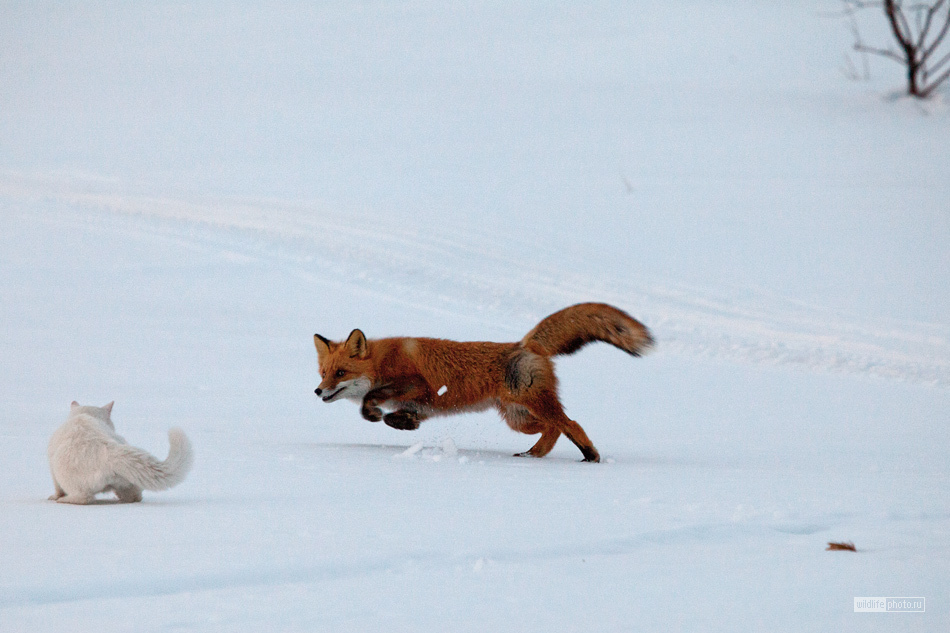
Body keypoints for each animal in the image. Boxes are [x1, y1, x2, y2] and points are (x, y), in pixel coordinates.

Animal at [48, 400, 193, 504]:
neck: (85, 415)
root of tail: (109, 453)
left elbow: (57, 488)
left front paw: (55, 496)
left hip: (67, 476)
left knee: (83, 498)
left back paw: (63, 500)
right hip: (128, 480)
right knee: (135, 496)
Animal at [314, 302, 656, 460]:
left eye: (340, 373)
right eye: (323, 372)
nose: (317, 391)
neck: (382, 360)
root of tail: (525, 344)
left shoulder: (418, 383)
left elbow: (371, 400)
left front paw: (374, 413)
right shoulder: (420, 404)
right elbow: (396, 416)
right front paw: (404, 424)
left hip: (533, 407)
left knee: (572, 424)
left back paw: (589, 456)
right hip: (519, 419)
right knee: (556, 429)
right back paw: (533, 455)